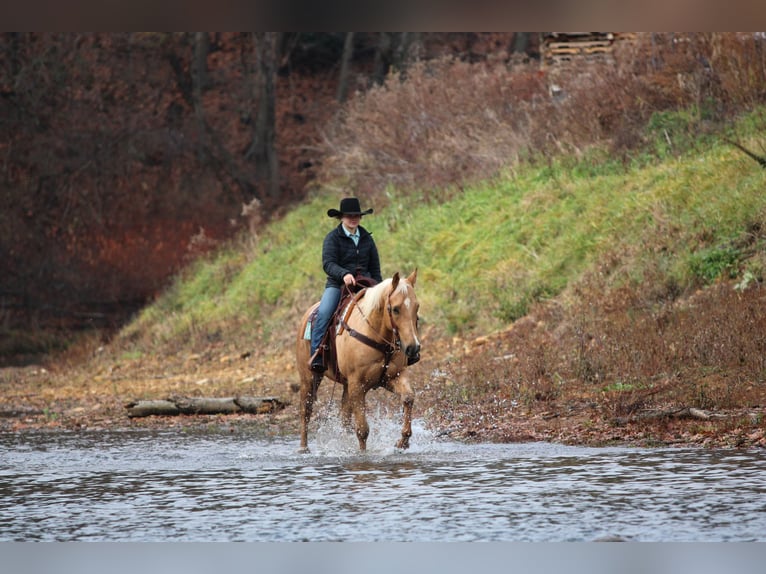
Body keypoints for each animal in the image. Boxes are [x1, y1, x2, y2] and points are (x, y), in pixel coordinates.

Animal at [295, 270, 421, 452]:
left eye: (416, 307)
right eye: (395, 309)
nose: (413, 348)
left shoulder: (393, 376)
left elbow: (408, 397)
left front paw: (402, 441)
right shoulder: (357, 385)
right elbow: (362, 429)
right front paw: (363, 454)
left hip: (346, 385)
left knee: (345, 417)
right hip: (309, 377)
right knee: (306, 411)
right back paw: (304, 448)